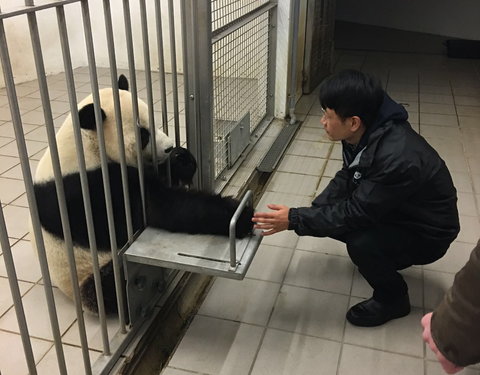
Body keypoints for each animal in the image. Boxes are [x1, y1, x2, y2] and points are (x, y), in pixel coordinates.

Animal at [31, 75, 253, 314]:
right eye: (143, 135)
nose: (169, 147)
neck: (85, 144)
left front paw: (181, 159)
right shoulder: (87, 190)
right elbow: (158, 207)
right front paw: (241, 216)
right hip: (90, 271)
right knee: (113, 286)